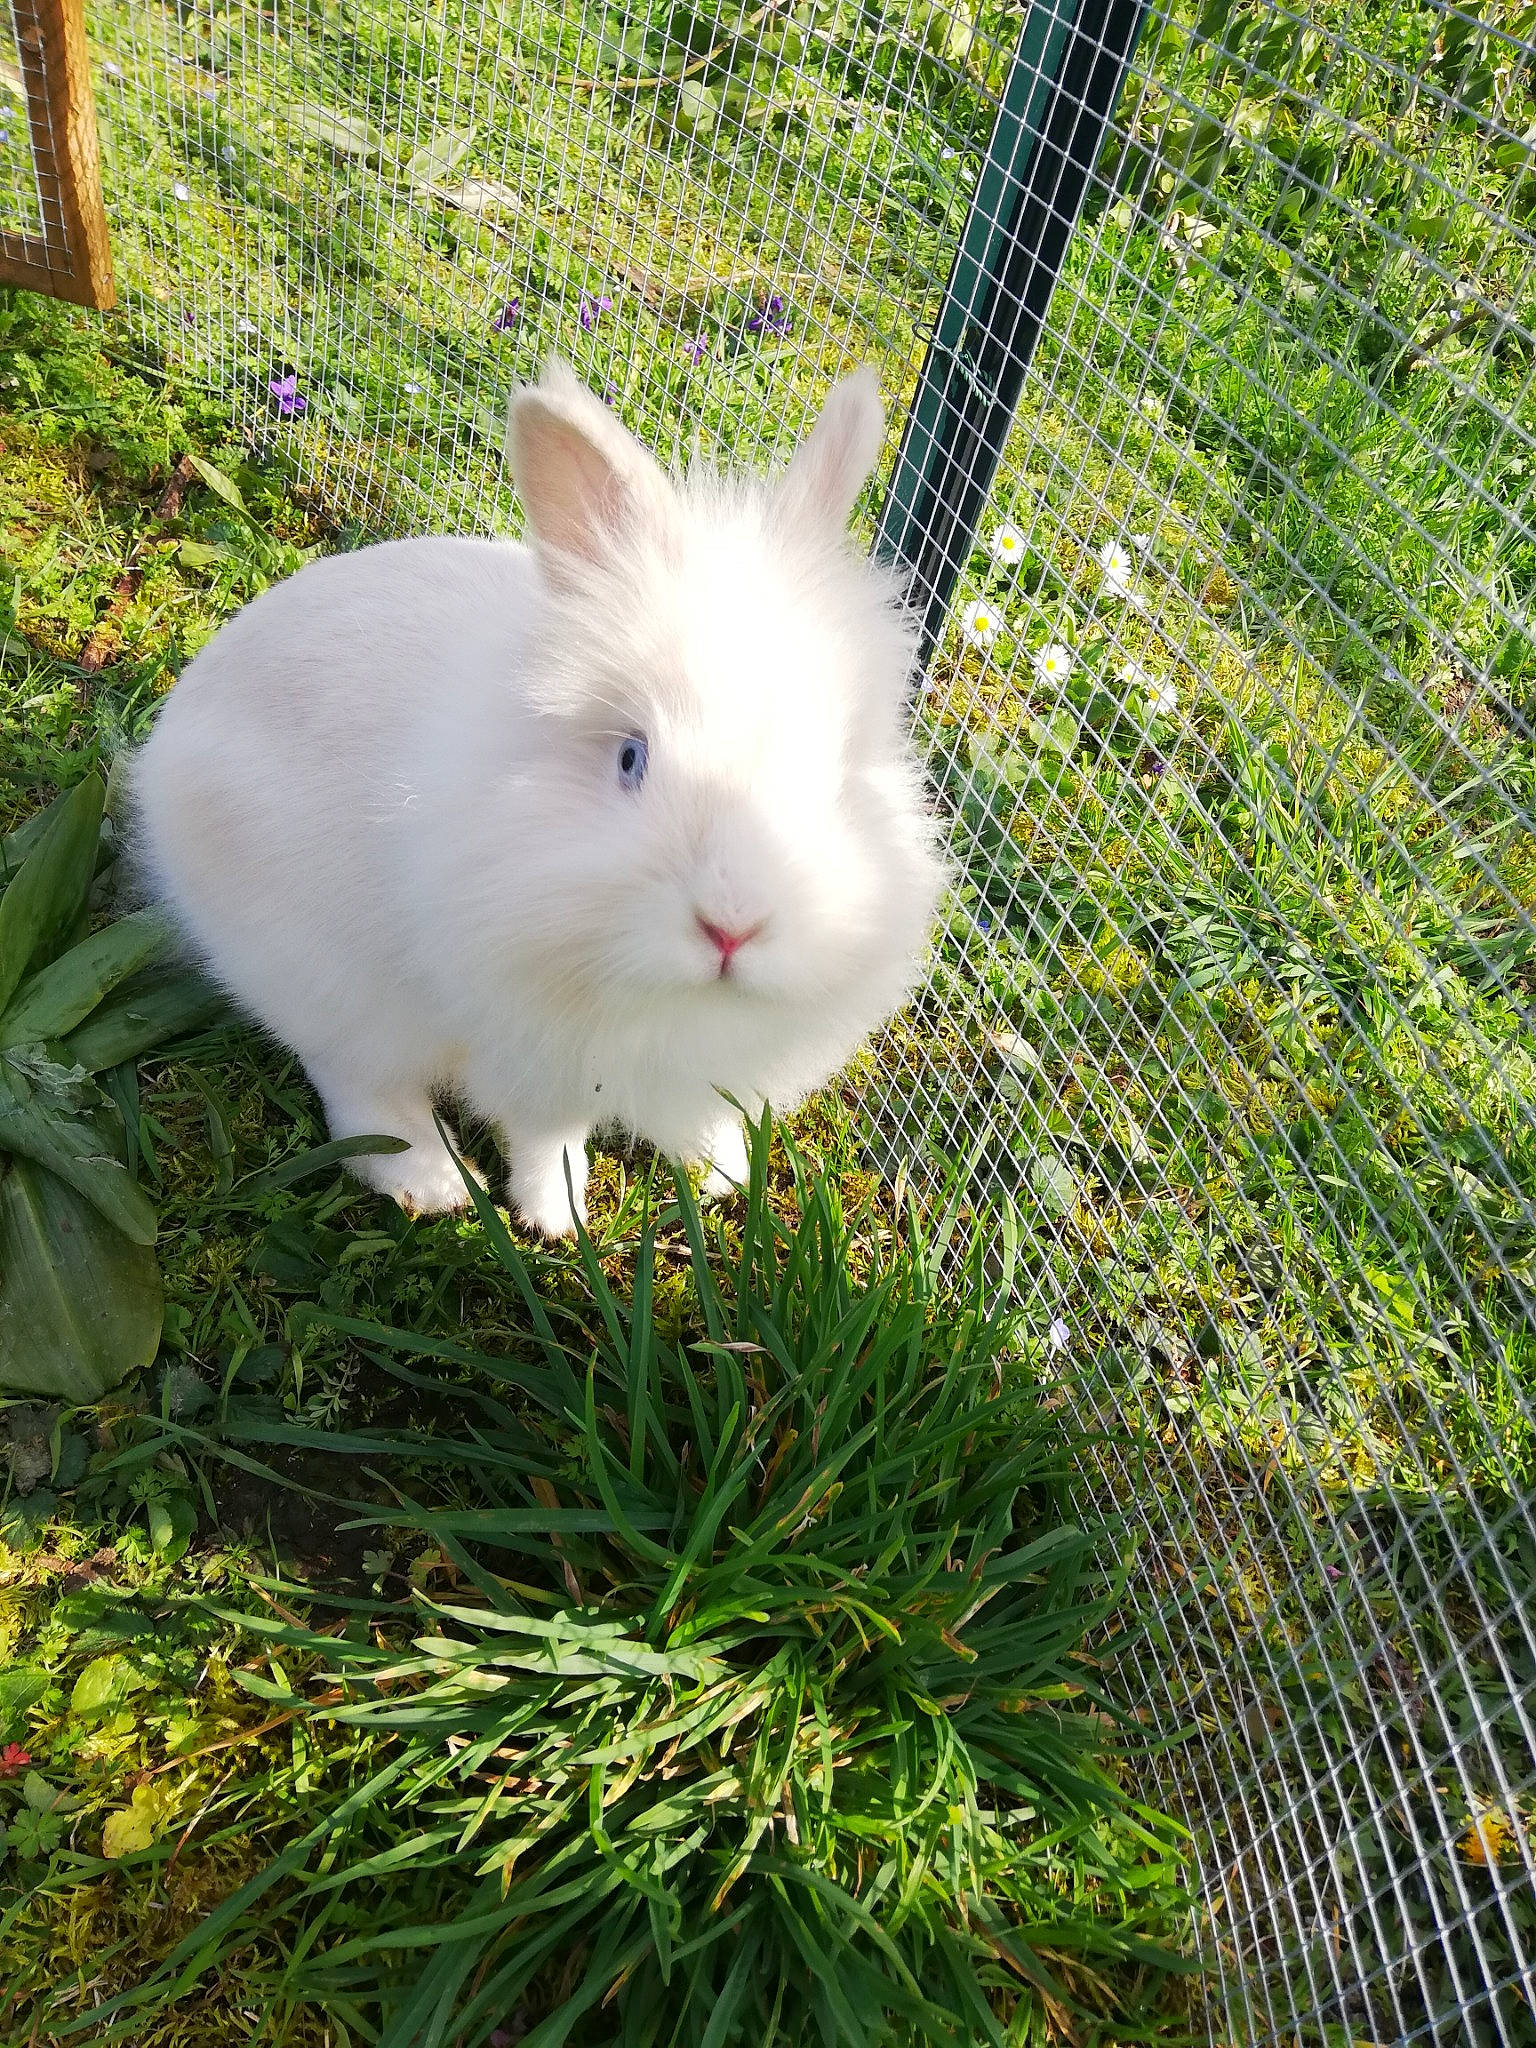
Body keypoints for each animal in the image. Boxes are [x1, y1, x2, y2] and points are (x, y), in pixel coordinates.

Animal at [130, 360, 945, 1237]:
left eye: (838, 774)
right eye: (630, 758)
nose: (734, 926)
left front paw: (726, 1170)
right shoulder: (534, 1050)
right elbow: (548, 1135)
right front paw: (560, 1219)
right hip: (321, 972)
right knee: (352, 1074)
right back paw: (431, 1182)